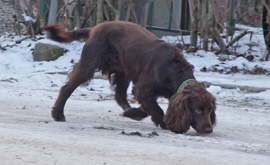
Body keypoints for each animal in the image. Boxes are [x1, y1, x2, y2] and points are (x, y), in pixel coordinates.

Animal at [45, 21, 216, 134]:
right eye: (197, 110)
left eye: (210, 110)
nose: (208, 129)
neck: (174, 72)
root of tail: (96, 27)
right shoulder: (142, 88)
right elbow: (157, 109)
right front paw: (166, 123)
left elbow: (149, 108)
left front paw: (136, 114)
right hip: (89, 63)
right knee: (67, 87)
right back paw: (58, 114)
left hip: (123, 71)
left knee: (120, 95)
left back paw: (130, 112)